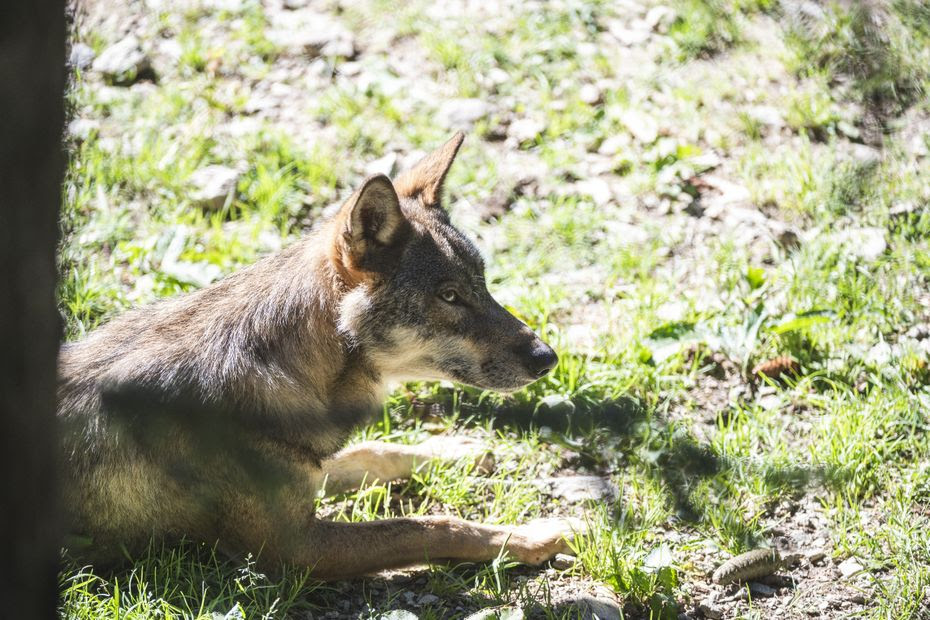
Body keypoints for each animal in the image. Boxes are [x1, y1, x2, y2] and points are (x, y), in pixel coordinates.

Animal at [58, 132, 576, 576]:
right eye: (449, 296)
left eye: (482, 285)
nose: (547, 357)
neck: (283, 368)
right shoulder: (296, 549)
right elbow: (431, 525)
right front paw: (532, 537)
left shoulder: (311, 471)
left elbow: (378, 452)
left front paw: (459, 450)